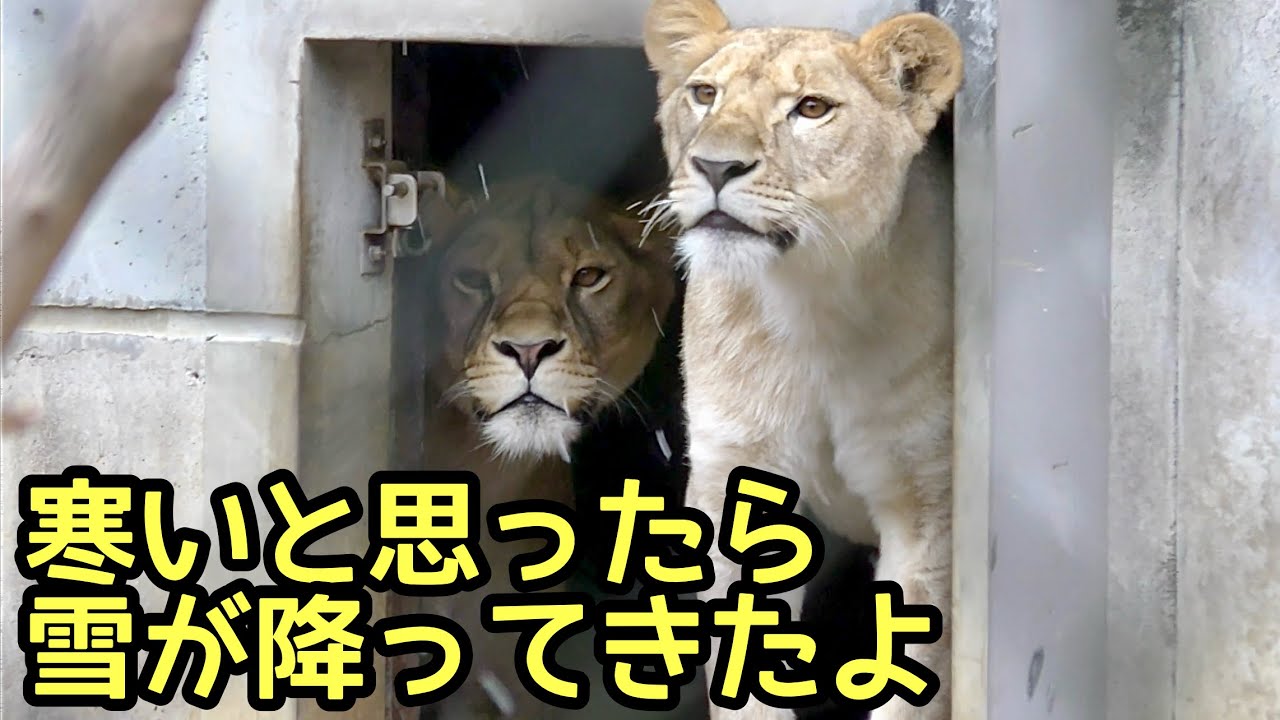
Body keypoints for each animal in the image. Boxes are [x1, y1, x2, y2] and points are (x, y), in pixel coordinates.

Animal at [642, 2, 963, 719]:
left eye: (812, 108)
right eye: (704, 95)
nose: (715, 167)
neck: (810, 305)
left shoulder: (927, 500)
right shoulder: (734, 470)